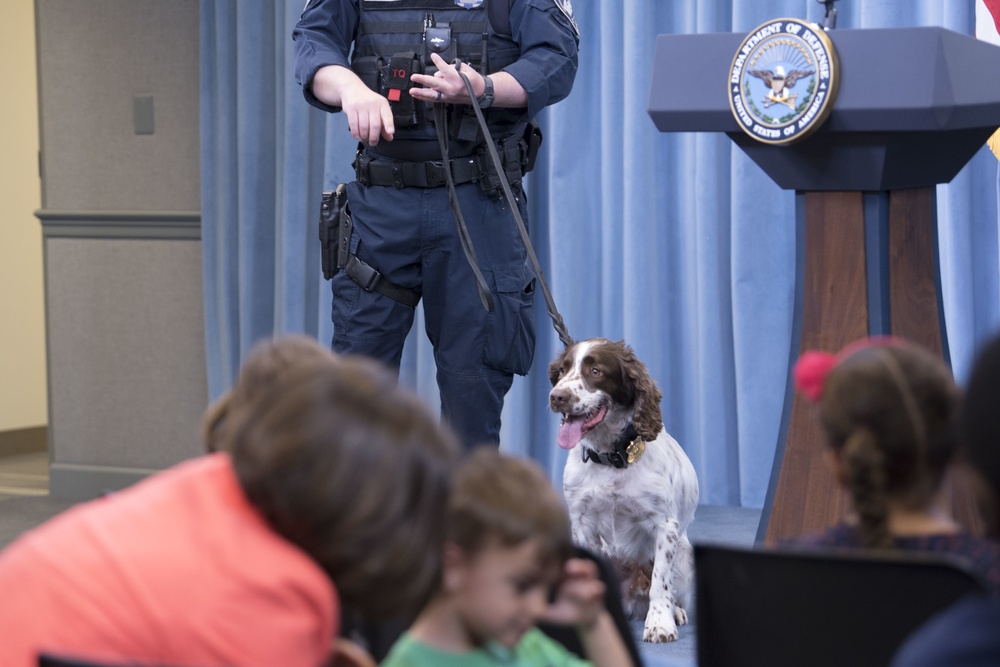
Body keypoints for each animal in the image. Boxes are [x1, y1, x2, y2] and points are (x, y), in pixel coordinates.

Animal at [552, 340, 700, 640]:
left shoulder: (665, 526)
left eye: (596, 371)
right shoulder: (581, 524)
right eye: (561, 371)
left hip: (684, 554)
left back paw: (675, 612)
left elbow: (660, 582)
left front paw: (660, 622)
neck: (611, 458)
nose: (556, 396)